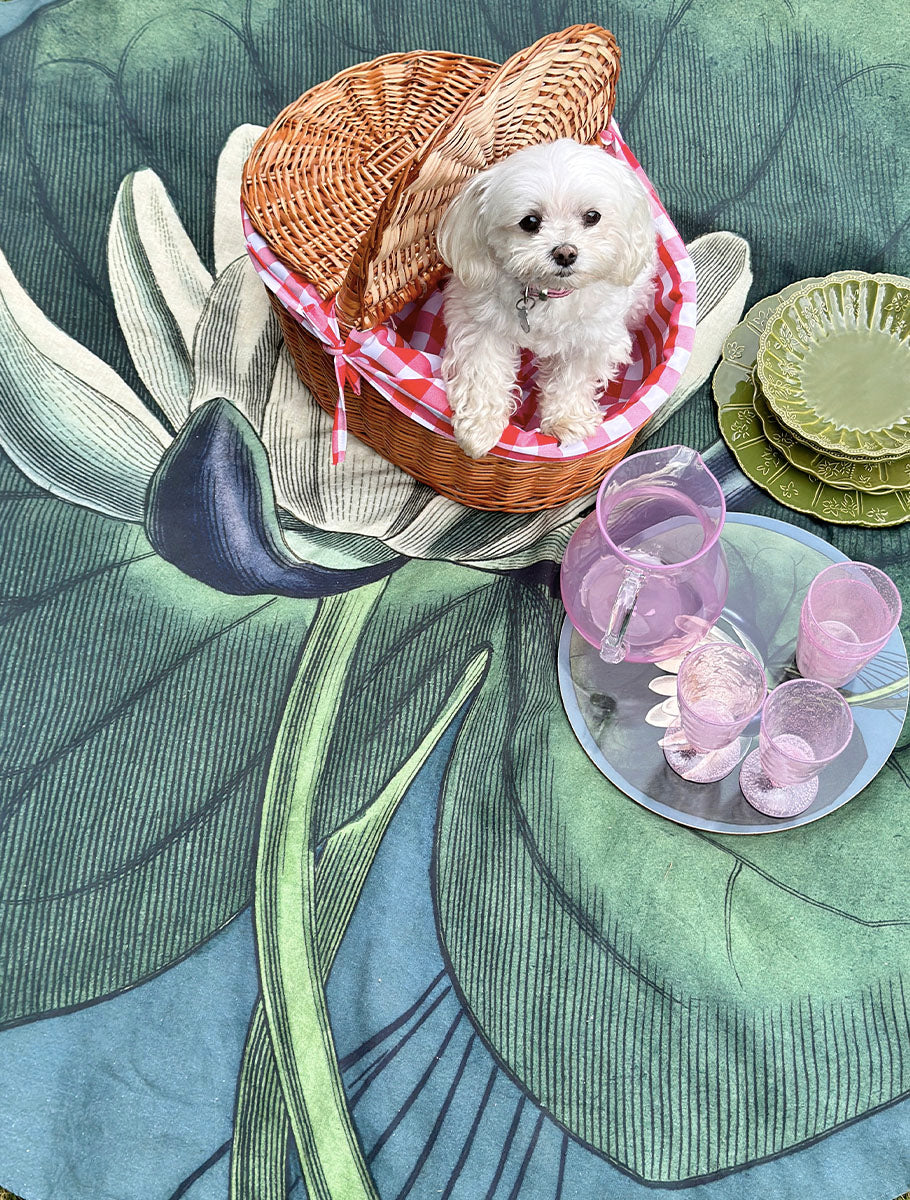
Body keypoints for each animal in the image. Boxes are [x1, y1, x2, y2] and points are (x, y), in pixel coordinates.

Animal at [436, 138, 657, 459]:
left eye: (592, 216)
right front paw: (479, 428)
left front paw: (567, 421)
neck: (546, 293)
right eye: (530, 221)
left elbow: (573, 378)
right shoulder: (481, 324)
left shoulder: (592, 339)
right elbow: (483, 370)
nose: (565, 253)